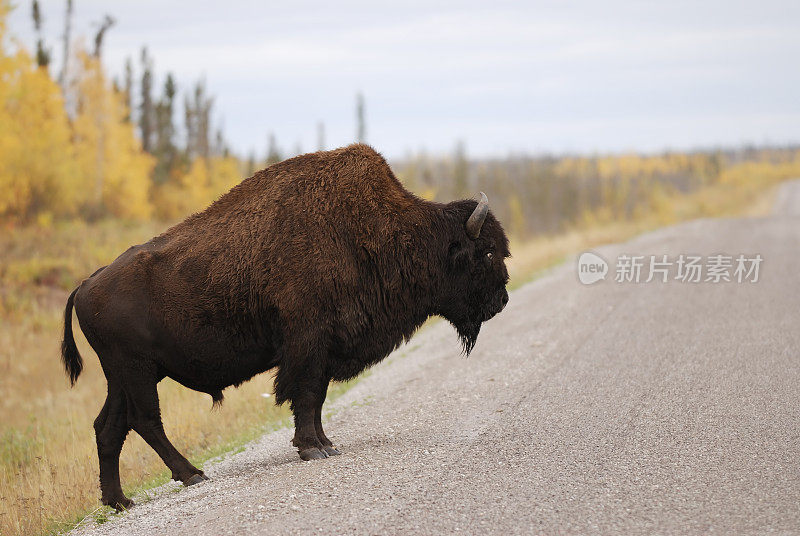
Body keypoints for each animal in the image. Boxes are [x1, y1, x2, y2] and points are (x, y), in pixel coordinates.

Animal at [64, 144, 512, 508]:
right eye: (487, 252)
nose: (503, 300)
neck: (378, 232)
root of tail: (87, 284)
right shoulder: (307, 345)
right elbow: (306, 395)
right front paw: (312, 449)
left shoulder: (325, 348)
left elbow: (317, 399)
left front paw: (327, 444)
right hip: (137, 372)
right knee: (145, 421)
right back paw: (192, 474)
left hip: (124, 376)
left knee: (109, 427)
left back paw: (120, 501)